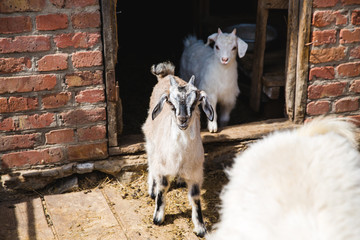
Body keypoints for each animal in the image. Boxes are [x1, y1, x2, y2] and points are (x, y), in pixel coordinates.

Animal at [141, 61, 214, 237]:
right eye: (171, 105)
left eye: (194, 104)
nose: (182, 119)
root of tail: (166, 75)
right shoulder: (163, 168)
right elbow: (162, 189)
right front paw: (158, 218)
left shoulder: (195, 173)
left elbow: (195, 197)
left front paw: (200, 228)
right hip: (151, 139)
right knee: (151, 162)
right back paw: (151, 189)